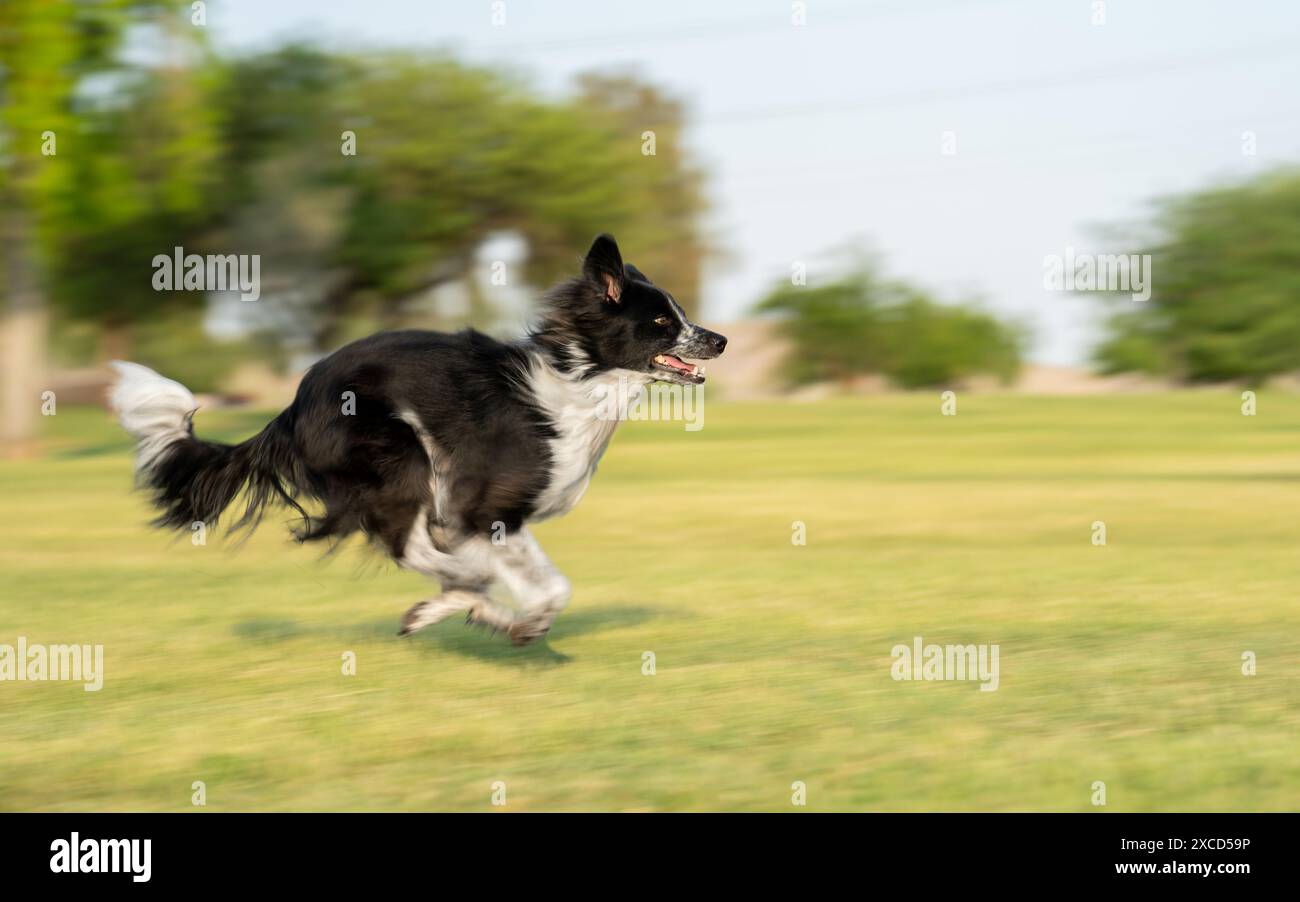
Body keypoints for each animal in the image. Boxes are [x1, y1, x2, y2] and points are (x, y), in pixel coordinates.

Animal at [111, 236, 728, 647]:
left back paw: (457, 606)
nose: (720, 340)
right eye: (660, 323)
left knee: (421, 551)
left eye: (680, 315)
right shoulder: (482, 507)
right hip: (396, 451)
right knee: (409, 546)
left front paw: (485, 612)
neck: (580, 385)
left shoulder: (481, 515)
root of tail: (291, 407)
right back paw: (473, 597)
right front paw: (524, 620)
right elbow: (551, 585)